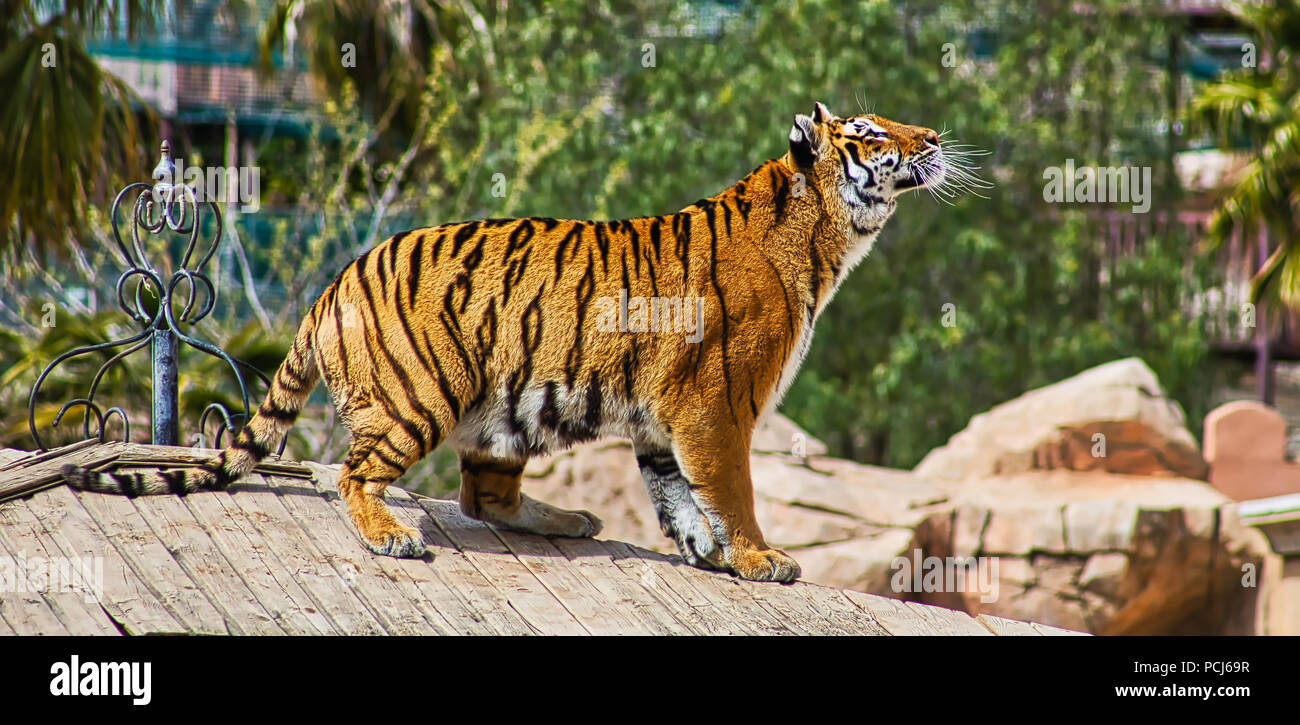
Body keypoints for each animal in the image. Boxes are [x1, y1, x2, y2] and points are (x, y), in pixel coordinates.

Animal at [64, 102, 954, 583]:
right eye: (872, 133)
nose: (936, 137)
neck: (826, 238)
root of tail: (332, 285)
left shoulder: (667, 418)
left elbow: (678, 491)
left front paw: (707, 550)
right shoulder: (715, 405)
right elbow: (731, 488)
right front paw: (761, 557)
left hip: (508, 411)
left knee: (483, 496)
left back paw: (571, 518)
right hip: (423, 395)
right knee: (358, 473)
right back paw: (392, 537)